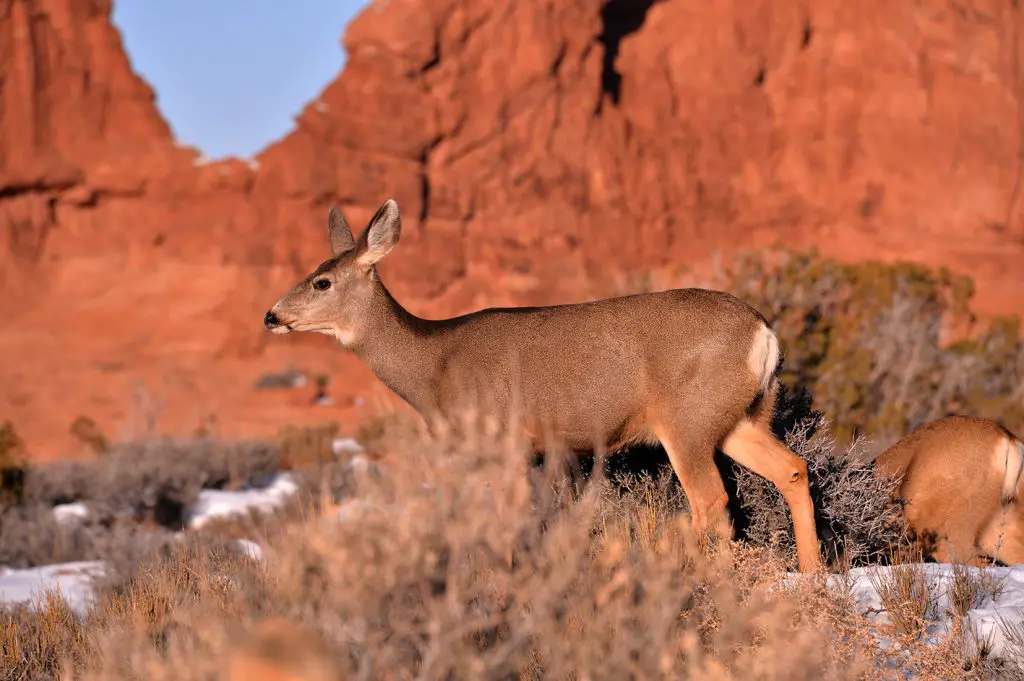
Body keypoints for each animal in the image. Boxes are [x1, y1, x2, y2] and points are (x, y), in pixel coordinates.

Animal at [264, 196, 823, 569]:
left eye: (322, 282)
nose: (271, 316)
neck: (432, 365)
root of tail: (763, 332)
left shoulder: (504, 440)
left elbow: (505, 526)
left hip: (686, 420)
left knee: (710, 500)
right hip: (737, 416)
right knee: (792, 469)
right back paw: (811, 578)